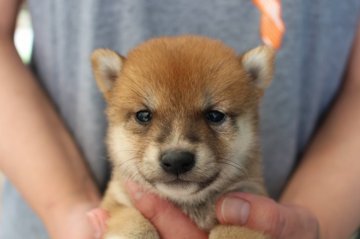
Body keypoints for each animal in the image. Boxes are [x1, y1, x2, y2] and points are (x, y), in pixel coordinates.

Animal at [91, 35, 274, 239]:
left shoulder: (249, 196)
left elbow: (233, 230)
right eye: (143, 115)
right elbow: (133, 220)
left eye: (215, 115)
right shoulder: (116, 199)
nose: (177, 160)